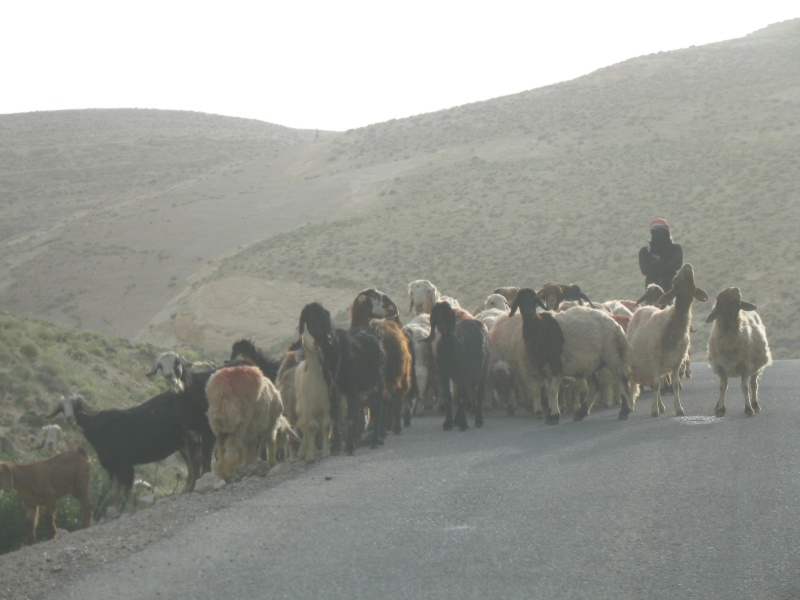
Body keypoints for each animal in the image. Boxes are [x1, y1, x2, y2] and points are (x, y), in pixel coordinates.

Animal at [424, 300, 488, 432]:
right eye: (436, 316)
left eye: (447, 315)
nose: (441, 327)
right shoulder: (444, 374)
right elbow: (449, 396)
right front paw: (448, 423)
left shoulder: (463, 374)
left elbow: (462, 398)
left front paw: (463, 424)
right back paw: (457, 419)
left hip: (482, 371)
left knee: (479, 395)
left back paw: (478, 420)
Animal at [628, 262, 708, 418]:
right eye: (675, 280)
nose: (688, 266)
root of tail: (643, 308)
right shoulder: (654, 360)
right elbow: (656, 385)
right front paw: (654, 410)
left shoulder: (677, 361)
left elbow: (674, 384)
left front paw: (678, 409)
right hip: (635, 361)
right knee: (635, 381)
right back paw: (631, 405)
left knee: (657, 383)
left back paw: (660, 406)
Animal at [708, 286, 776, 418]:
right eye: (721, 297)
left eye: (739, 302)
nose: (735, 288)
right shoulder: (720, 368)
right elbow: (722, 387)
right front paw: (720, 409)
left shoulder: (745, 366)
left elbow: (745, 387)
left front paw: (748, 408)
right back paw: (717, 405)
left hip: (757, 366)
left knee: (754, 384)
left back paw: (755, 404)